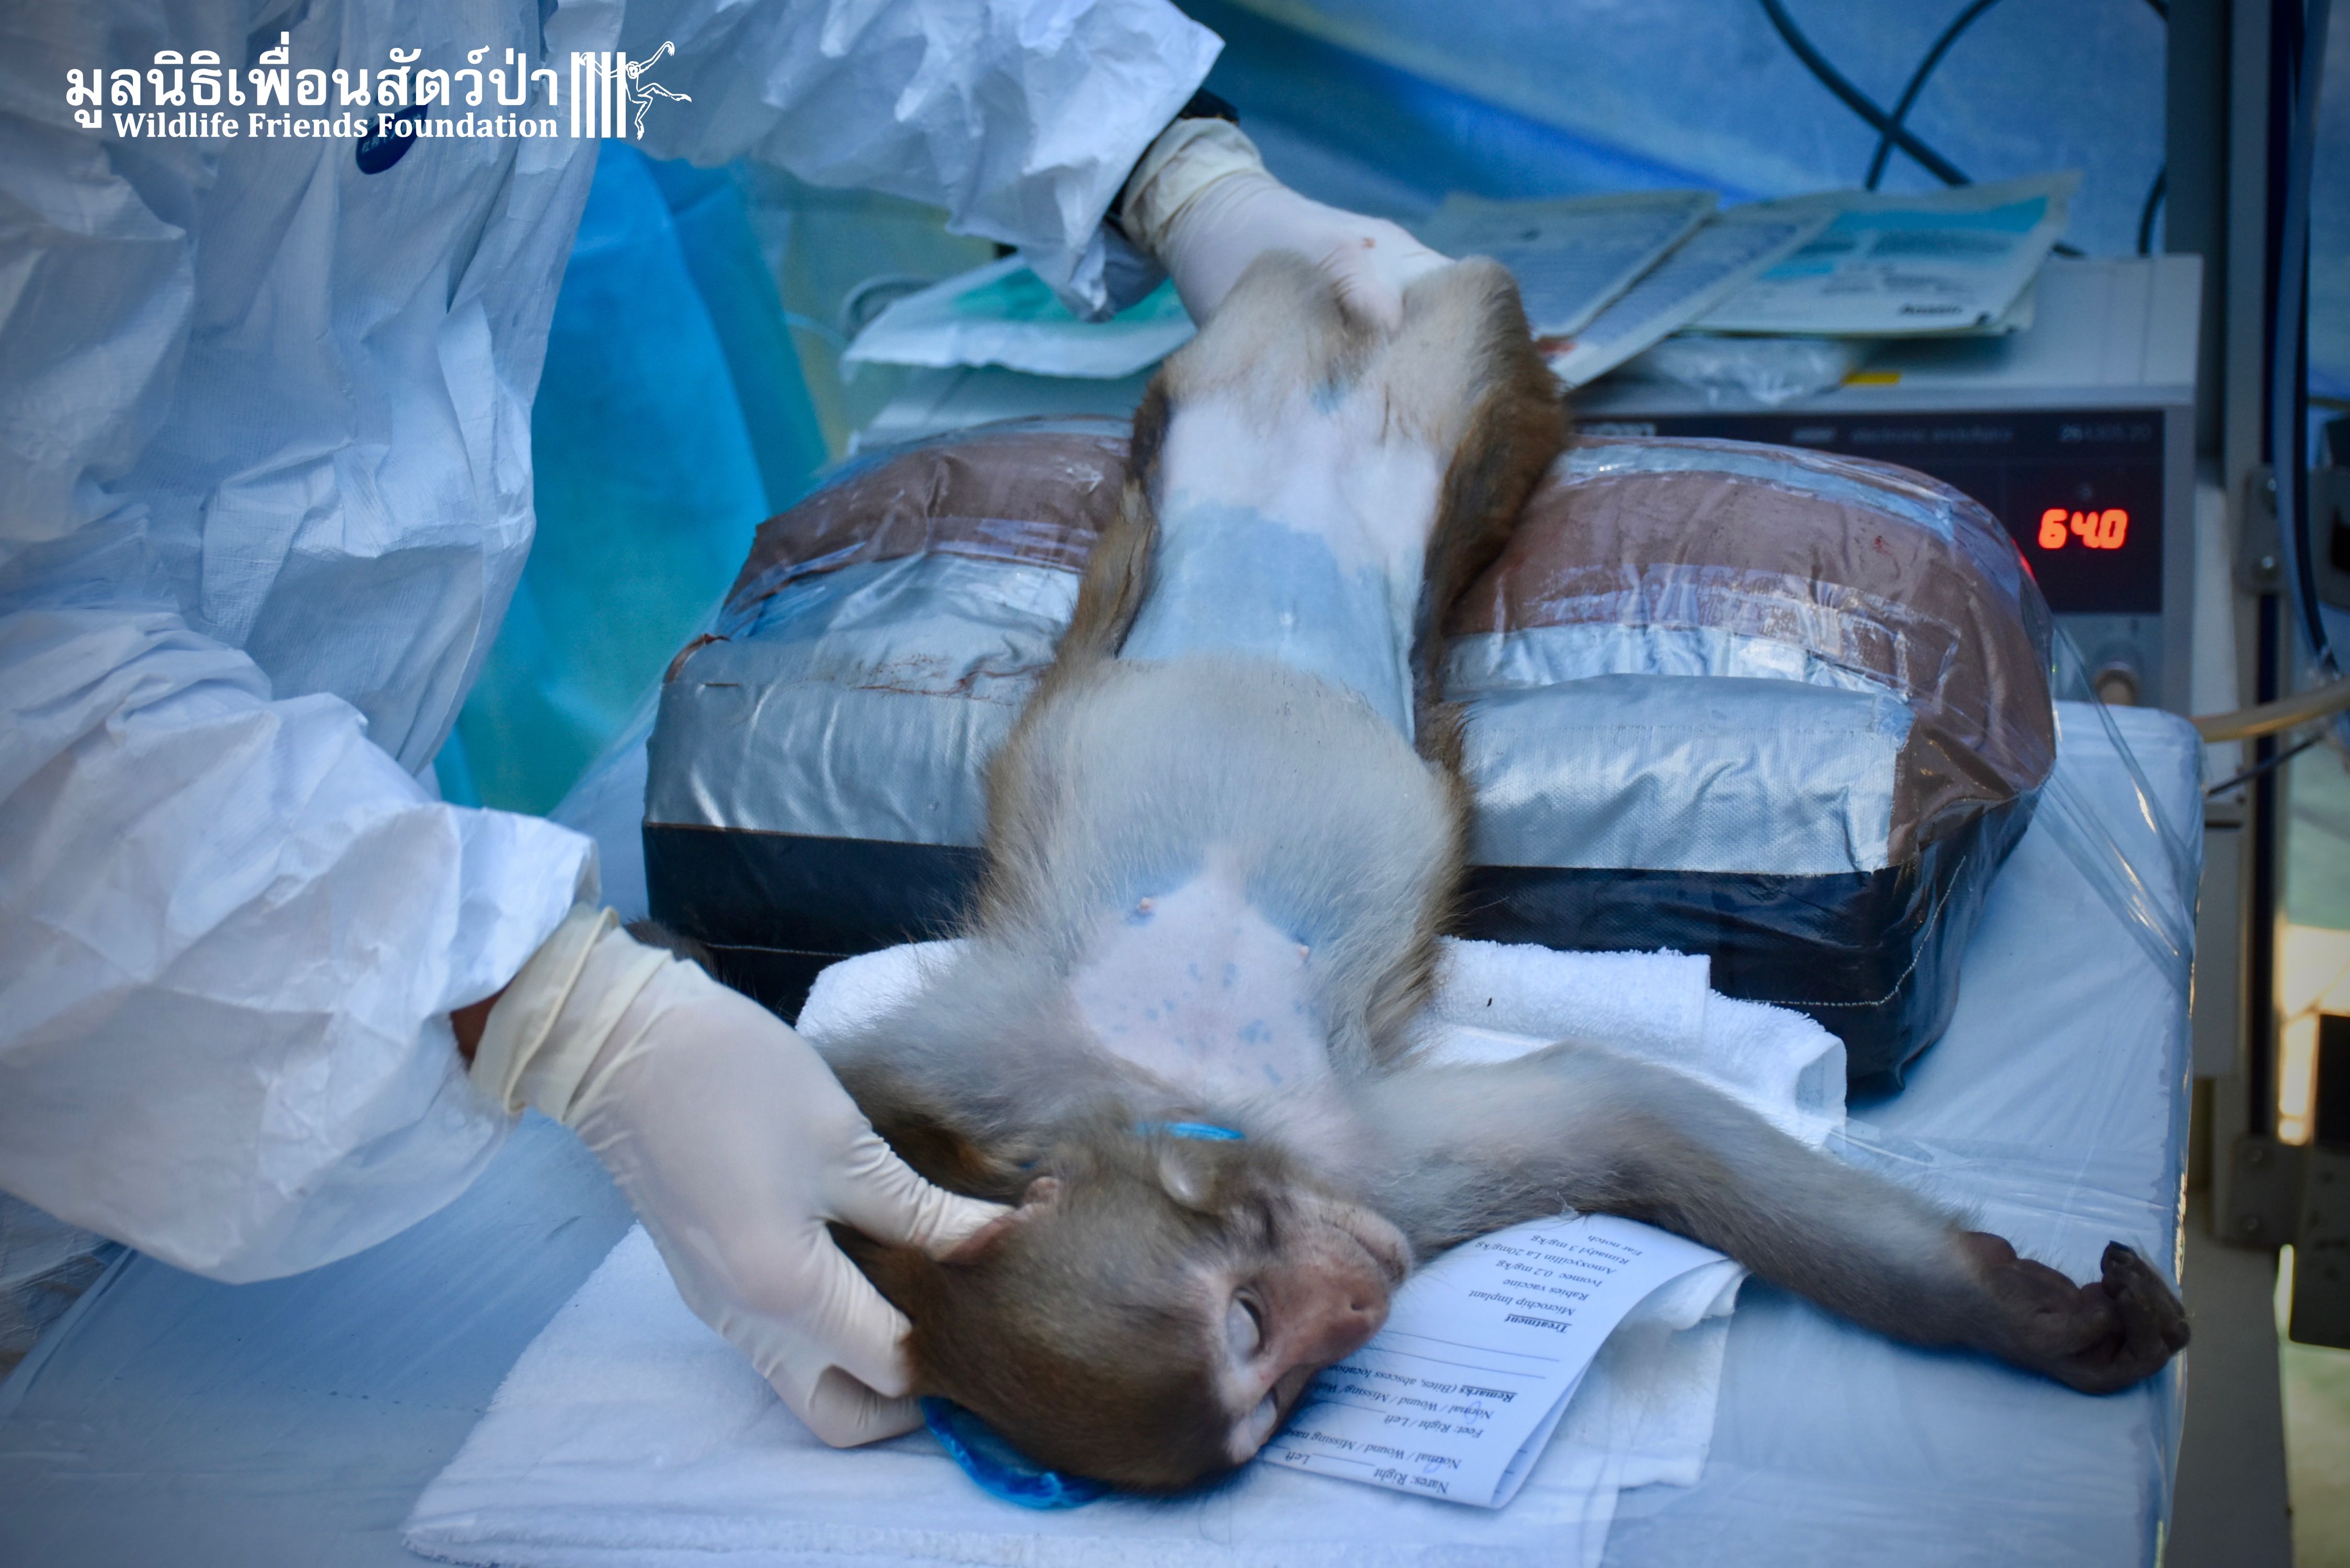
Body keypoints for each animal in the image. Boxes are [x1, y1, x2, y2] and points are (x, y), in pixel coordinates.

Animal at [810, 252, 2189, 1497]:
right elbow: (1626, 1121)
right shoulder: (1370, 1183)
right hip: (1264, 369)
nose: (1360, 1305)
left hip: (1428, 402)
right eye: (1277, 1379)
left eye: (1247, 1307)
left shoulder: (1211, 1126)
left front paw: (2022, 1319)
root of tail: (1316, 398)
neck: (1171, 1089)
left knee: (1414, 308)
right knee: (1300, 309)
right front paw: (2036, 1313)